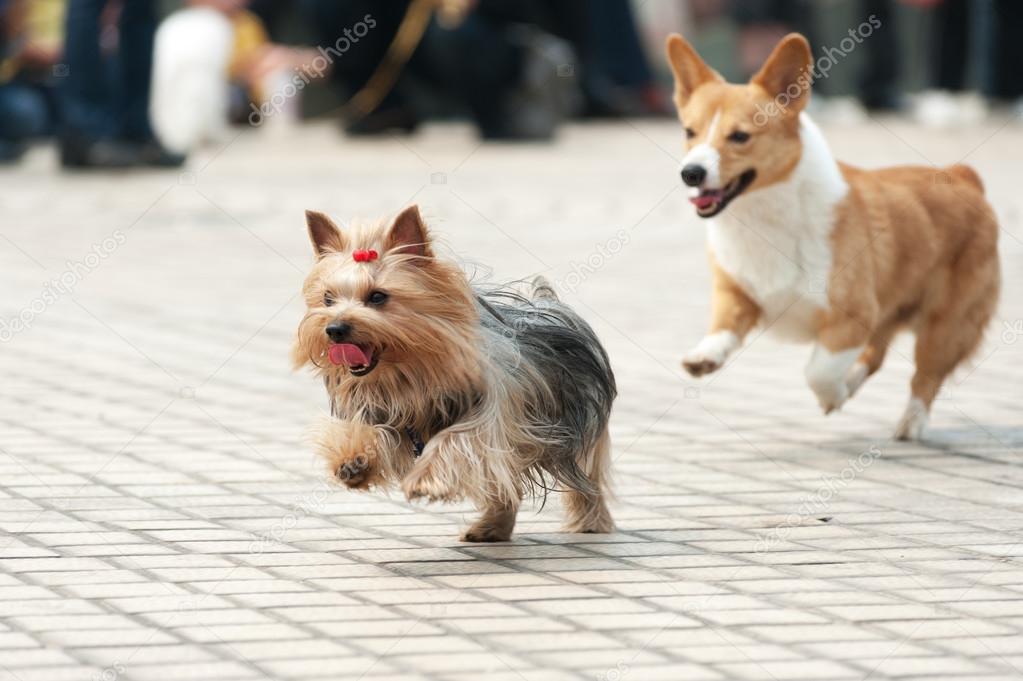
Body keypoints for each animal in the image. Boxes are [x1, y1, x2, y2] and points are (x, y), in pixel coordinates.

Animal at [296, 204, 613, 539]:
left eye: (378, 297)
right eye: (328, 298)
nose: (335, 329)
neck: (409, 368)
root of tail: (548, 303)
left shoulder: (492, 412)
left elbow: (460, 440)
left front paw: (425, 481)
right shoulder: (387, 411)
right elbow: (373, 432)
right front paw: (353, 462)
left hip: (578, 422)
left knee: (583, 477)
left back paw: (590, 522)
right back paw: (491, 528)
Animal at [662, 31, 998, 437]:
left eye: (740, 136)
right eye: (689, 133)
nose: (691, 173)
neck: (763, 215)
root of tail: (965, 178)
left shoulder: (853, 316)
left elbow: (817, 370)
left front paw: (832, 395)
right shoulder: (737, 293)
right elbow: (724, 326)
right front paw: (705, 356)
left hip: (946, 326)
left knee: (926, 375)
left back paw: (909, 422)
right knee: (876, 356)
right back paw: (854, 385)